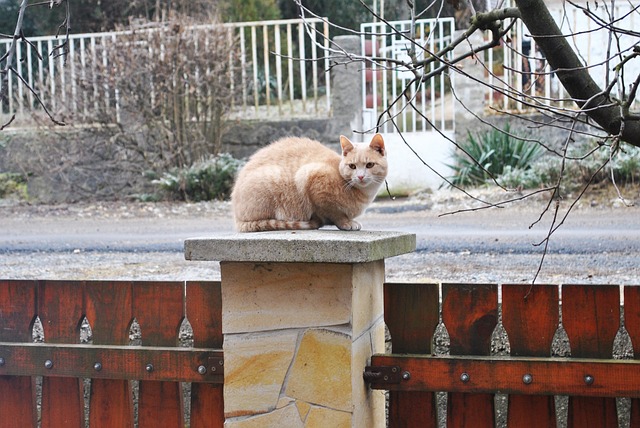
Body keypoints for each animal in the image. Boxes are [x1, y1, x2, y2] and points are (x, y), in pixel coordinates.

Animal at [232, 135, 388, 232]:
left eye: (369, 165)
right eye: (352, 166)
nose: (360, 176)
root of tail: (237, 217)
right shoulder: (310, 177)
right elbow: (334, 212)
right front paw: (346, 222)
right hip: (274, 177)